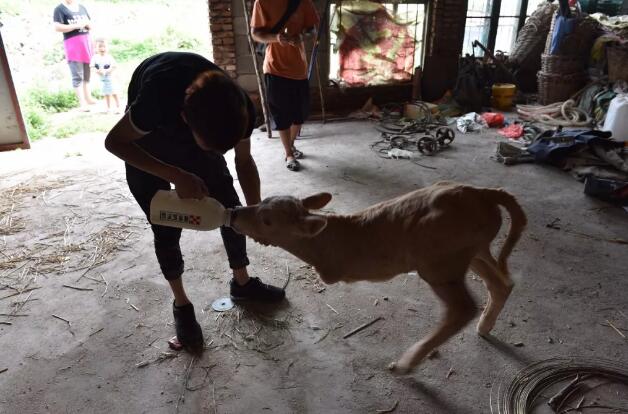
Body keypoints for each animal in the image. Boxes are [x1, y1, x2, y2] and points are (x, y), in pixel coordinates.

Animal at [231, 181, 524, 376]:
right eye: (261, 202)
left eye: (267, 220)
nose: (234, 213)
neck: (327, 242)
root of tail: (482, 193)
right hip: (473, 252)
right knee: (501, 283)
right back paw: (485, 326)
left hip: (439, 264)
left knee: (463, 309)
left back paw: (406, 363)